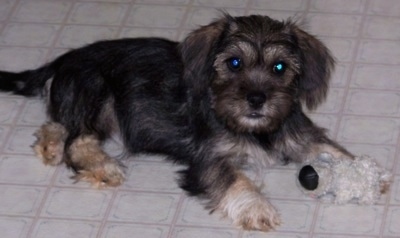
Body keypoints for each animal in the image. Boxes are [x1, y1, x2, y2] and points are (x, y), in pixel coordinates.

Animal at [0, 14, 356, 231]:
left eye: (279, 67)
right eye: (234, 63)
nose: (257, 99)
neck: (257, 130)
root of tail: (63, 60)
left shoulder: (302, 135)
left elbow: (333, 150)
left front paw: (362, 174)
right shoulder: (209, 159)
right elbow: (236, 180)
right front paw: (257, 209)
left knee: (58, 123)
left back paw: (49, 146)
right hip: (97, 91)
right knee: (78, 141)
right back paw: (103, 167)